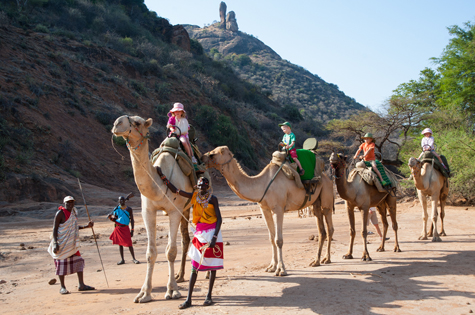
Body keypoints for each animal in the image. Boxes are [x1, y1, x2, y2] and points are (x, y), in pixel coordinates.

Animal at [112, 116, 192, 304]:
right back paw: (180, 275)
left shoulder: (174, 211)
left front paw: (172, 291)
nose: (117, 124)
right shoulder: (148, 211)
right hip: (184, 210)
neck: (160, 182)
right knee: (186, 239)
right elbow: (151, 253)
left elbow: (170, 251)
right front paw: (144, 293)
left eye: (138, 122)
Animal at [204, 147, 334, 276]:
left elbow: (278, 240)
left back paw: (327, 259)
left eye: (212, 154)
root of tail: (327, 177)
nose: (202, 158)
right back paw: (316, 261)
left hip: (326, 196)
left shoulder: (278, 208)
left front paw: (281, 269)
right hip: (315, 203)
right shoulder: (264, 209)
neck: (262, 184)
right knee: (321, 229)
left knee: (329, 227)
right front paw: (271, 267)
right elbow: (272, 238)